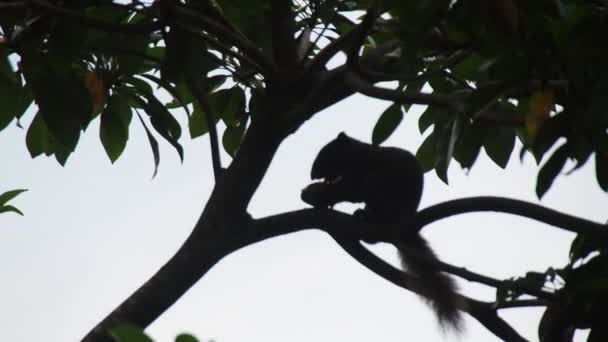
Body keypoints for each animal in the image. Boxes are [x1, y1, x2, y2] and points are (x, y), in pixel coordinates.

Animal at [302, 132, 464, 330]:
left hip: (381, 191)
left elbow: (350, 190)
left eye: (327, 152)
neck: (356, 154)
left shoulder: (359, 171)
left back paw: (367, 217)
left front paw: (316, 195)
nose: (312, 175)